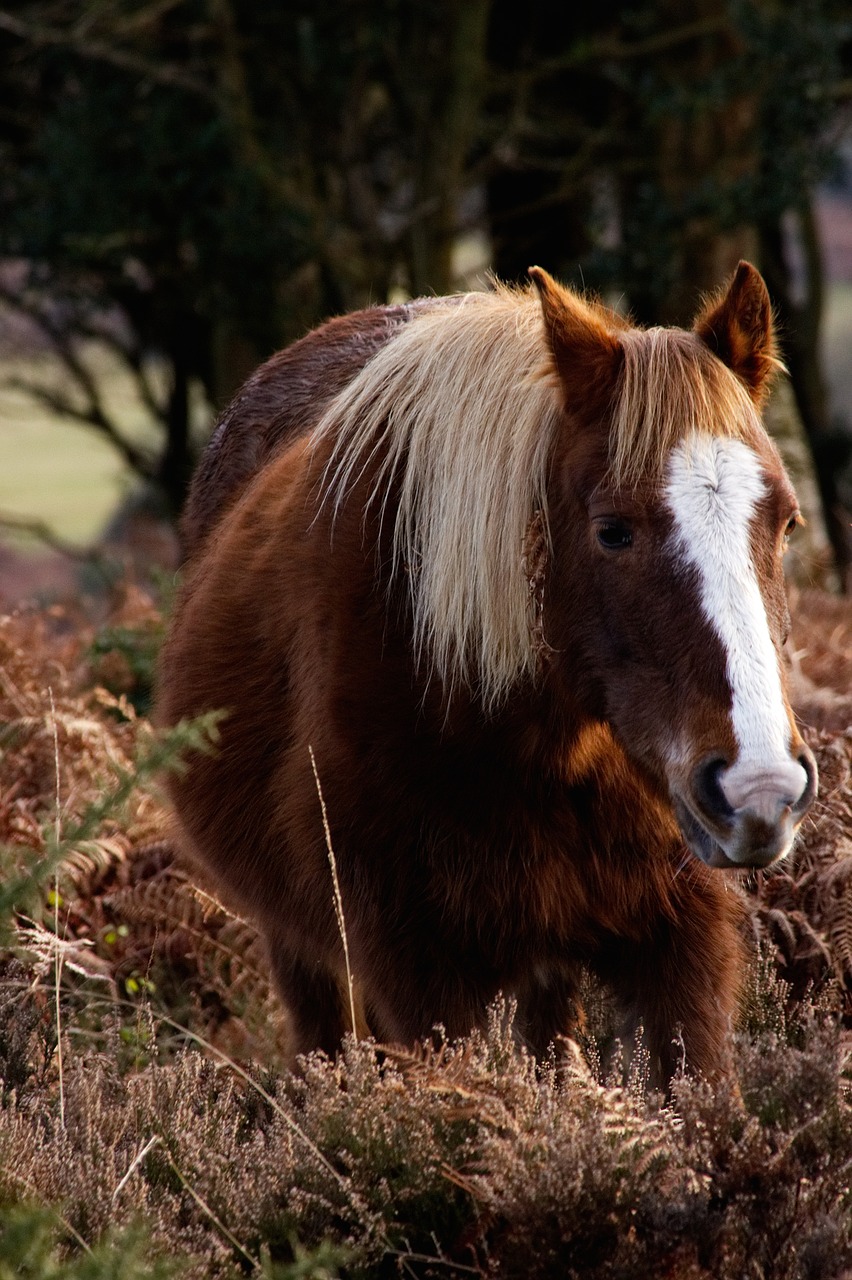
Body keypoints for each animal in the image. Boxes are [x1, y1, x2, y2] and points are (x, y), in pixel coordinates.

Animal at [159, 264, 818, 1085]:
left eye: (786, 522)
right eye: (612, 531)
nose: (759, 789)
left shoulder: (678, 947)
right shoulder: (424, 978)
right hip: (309, 958)